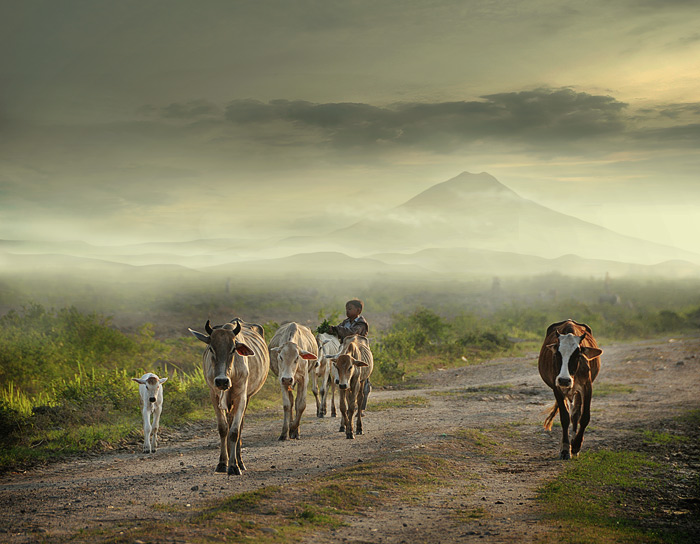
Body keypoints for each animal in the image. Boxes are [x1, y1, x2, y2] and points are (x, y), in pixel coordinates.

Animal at [540, 318, 604, 460]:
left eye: (578, 355)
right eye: (557, 354)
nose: (564, 380)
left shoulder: (587, 387)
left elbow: (584, 417)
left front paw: (575, 446)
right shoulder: (557, 388)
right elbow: (564, 417)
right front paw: (565, 449)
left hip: (577, 392)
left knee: (576, 415)